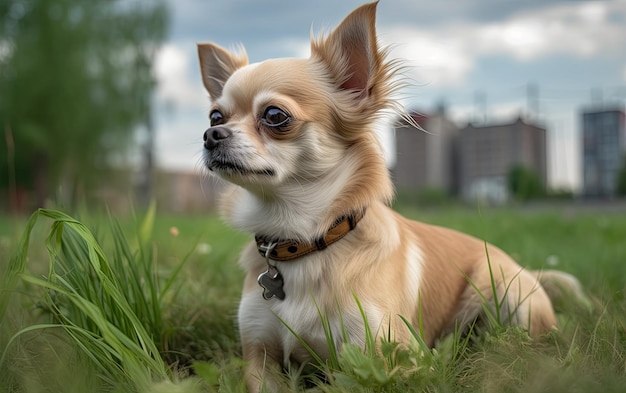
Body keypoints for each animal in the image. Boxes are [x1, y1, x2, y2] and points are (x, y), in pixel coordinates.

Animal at [197, 2, 560, 388]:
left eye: (274, 115)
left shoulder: (389, 357)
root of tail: (525, 269)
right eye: (215, 115)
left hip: (508, 293)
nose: (210, 134)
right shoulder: (259, 353)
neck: (304, 240)